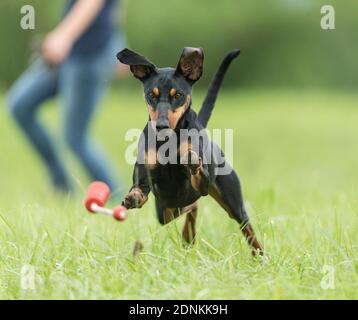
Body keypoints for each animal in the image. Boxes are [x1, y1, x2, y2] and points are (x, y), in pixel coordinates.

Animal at [117, 47, 262, 255]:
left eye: (177, 95)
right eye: (151, 94)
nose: (161, 126)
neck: (168, 142)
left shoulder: (201, 183)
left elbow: (196, 169)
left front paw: (191, 159)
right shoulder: (145, 182)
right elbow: (138, 191)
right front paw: (132, 198)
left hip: (232, 203)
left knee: (246, 228)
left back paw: (260, 255)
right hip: (164, 209)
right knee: (189, 208)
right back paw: (187, 237)